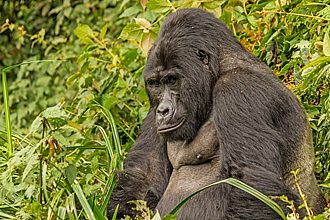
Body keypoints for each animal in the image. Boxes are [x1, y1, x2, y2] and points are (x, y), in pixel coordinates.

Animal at [107, 7, 326, 219]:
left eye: (172, 80)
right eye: (155, 84)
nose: (163, 110)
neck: (220, 70)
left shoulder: (238, 88)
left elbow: (250, 182)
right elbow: (143, 177)